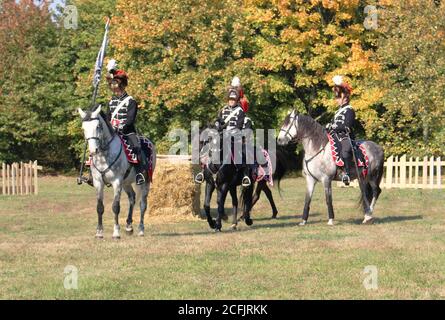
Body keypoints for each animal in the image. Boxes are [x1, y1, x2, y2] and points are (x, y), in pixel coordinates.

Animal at [78, 106, 156, 239]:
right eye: (84, 128)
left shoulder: (117, 182)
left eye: (98, 126)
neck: (104, 155)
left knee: (142, 204)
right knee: (132, 198)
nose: (93, 151)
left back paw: (141, 229)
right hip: (126, 183)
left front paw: (116, 232)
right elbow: (99, 207)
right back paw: (129, 227)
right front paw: (99, 232)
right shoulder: (98, 183)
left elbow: (115, 207)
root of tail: (148, 141)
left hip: (145, 182)